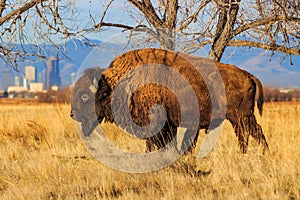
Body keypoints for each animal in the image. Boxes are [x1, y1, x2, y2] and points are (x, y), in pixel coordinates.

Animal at [71, 48, 270, 153]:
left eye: (84, 95)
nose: (72, 114)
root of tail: (248, 75)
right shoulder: (169, 126)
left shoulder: (157, 125)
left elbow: (154, 144)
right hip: (240, 118)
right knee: (251, 133)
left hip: (240, 117)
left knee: (250, 133)